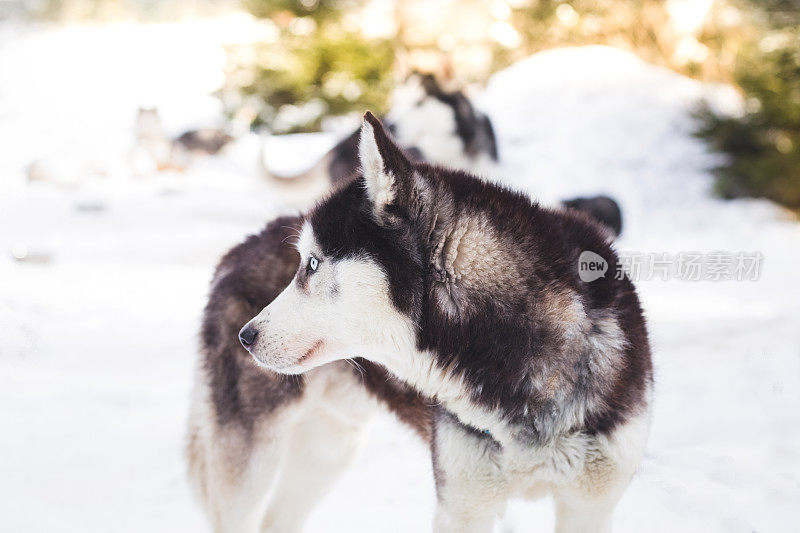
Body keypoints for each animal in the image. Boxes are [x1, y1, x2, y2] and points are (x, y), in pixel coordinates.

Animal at [191, 112, 652, 528]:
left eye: (313, 264)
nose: (246, 336)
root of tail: (240, 246)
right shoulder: (464, 506)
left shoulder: (589, 506)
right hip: (252, 464)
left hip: (329, 449)